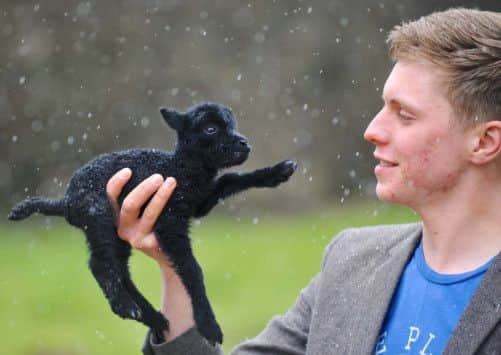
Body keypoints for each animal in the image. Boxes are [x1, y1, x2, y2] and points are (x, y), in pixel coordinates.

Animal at [7, 102, 296, 344]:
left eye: (233, 124)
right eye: (211, 129)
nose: (245, 144)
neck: (184, 170)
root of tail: (66, 202)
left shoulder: (201, 203)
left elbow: (230, 179)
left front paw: (277, 172)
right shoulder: (170, 223)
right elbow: (193, 269)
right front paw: (209, 325)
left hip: (115, 233)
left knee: (118, 269)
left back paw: (152, 317)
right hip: (99, 214)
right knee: (101, 265)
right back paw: (127, 307)